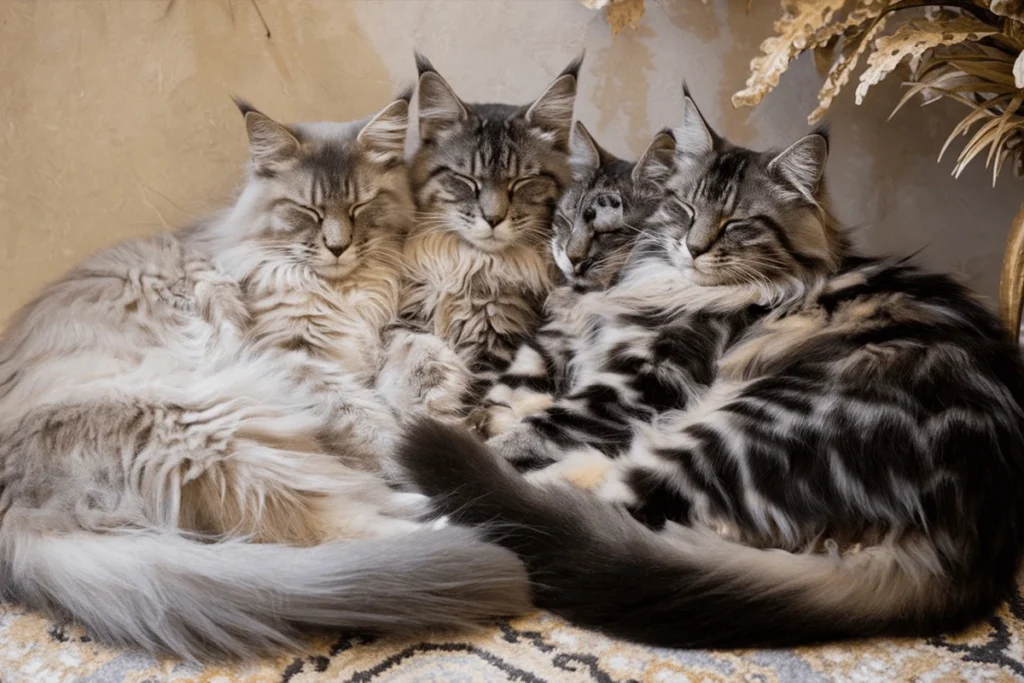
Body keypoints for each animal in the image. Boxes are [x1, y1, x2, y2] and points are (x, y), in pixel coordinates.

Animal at [0, 96, 528, 663]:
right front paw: (423, 432)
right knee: (320, 521)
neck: (345, 289)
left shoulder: (383, 327)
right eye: (308, 212)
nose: (338, 248)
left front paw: (439, 398)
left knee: (339, 498)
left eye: (360, 208)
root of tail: (17, 509)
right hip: (216, 421)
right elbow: (372, 424)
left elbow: (412, 358)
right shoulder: (296, 358)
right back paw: (453, 520)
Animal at [397, 88, 1024, 651]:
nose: (692, 249)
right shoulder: (556, 350)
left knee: (593, 501)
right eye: (686, 209)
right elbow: (503, 396)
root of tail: (976, 544)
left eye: (737, 223)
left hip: (752, 421)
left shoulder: (639, 382)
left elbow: (530, 430)